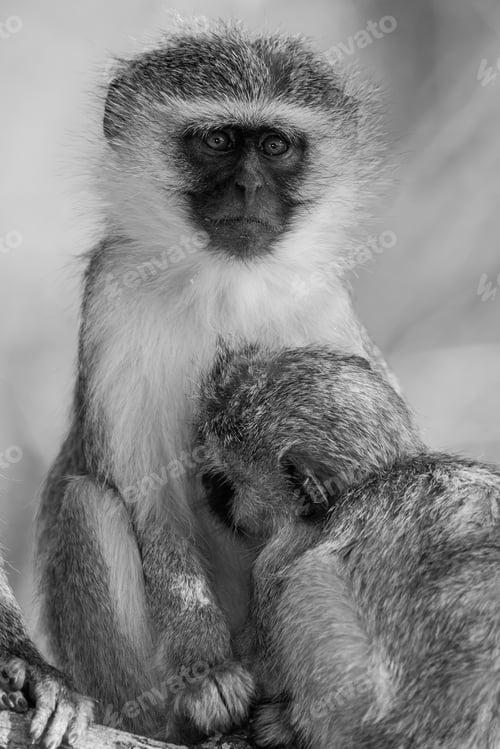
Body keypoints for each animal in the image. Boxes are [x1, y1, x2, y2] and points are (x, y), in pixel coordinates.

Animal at [35, 18, 399, 742]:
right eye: (220, 141)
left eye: (277, 145)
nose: (249, 190)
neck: (226, 279)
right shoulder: (114, 298)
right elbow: (148, 498)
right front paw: (208, 674)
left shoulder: (322, 300)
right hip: (136, 693)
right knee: (87, 502)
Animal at [196, 341, 500, 749]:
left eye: (228, 482)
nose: (206, 485)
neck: (374, 476)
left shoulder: (286, 550)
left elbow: (263, 660)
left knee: (308, 578)